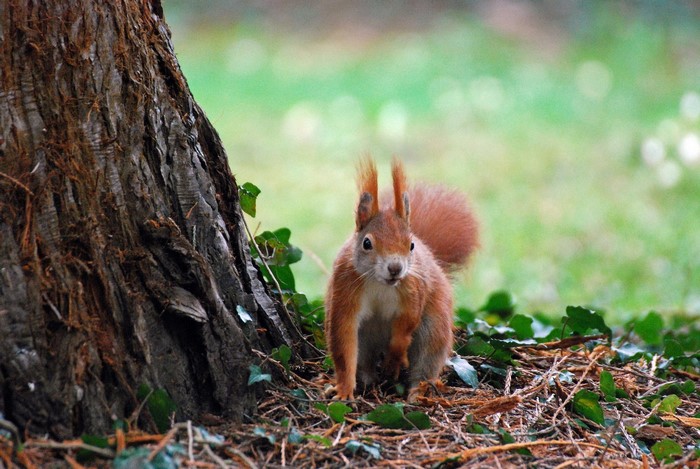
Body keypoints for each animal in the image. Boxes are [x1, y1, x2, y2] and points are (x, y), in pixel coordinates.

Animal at [325, 157, 479, 400]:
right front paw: (344, 389)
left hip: (433, 331)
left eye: (411, 245)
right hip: (366, 338)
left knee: (425, 364)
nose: (395, 268)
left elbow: (407, 323)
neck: (380, 283)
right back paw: (368, 380)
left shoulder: (413, 288)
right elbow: (343, 341)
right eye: (366, 243)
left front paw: (394, 358)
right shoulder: (345, 285)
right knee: (364, 361)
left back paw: (415, 392)